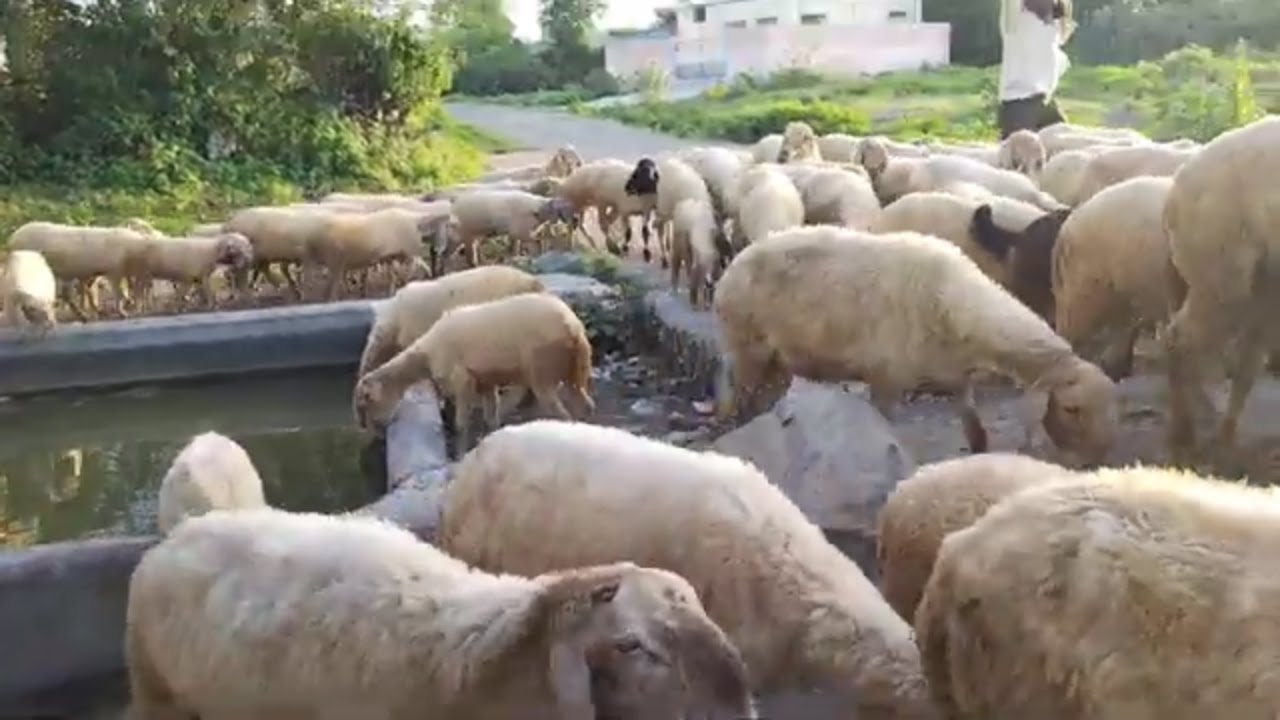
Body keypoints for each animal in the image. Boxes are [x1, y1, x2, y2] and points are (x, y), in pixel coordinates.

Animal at [7, 221, 151, 318]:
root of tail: (12, 238)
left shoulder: (95, 272)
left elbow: (91, 290)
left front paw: (102, 310)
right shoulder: (113, 269)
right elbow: (118, 292)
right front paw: (124, 311)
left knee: (64, 294)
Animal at [352, 291, 594, 453]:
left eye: (366, 403)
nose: (375, 435)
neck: (426, 355)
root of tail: (573, 328)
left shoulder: (461, 379)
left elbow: (461, 425)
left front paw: (461, 452)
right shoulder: (486, 380)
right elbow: (490, 418)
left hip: (542, 367)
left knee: (561, 412)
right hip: (574, 368)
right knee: (585, 404)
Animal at [713, 226, 1118, 464]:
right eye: (1072, 409)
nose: (1097, 459)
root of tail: (733, 265)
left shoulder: (957, 378)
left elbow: (977, 433)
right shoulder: (886, 380)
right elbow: (884, 430)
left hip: (777, 360)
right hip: (748, 348)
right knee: (743, 403)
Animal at [1160, 116, 1280, 466]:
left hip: (1260, 281)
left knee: (1248, 360)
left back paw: (1229, 442)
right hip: (1221, 271)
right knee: (1180, 340)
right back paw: (1185, 440)